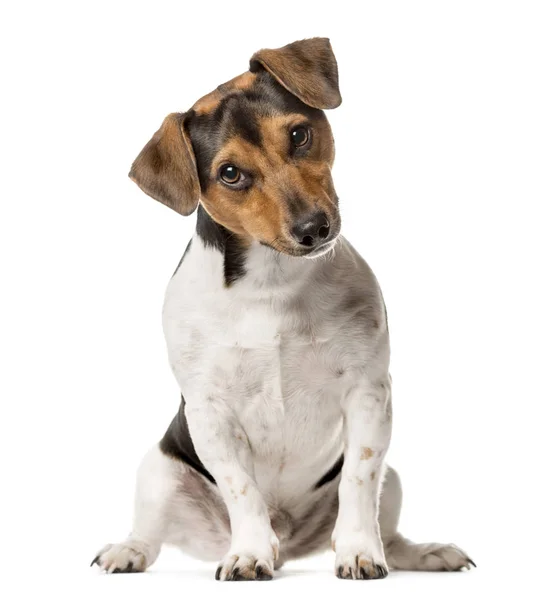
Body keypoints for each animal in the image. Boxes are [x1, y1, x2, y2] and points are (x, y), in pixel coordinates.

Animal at [91, 37, 474, 580]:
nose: (314, 227)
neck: (272, 282)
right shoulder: (210, 413)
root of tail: (290, 539)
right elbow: (242, 490)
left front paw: (358, 550)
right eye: (230, 173)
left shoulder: (368, 393)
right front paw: (250, 552)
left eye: (299, 134)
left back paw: (424, 553)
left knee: (390, 527)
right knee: (151, 534)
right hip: (159, 472)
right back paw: (129, 552)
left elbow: (359, 481)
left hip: (394, 480)